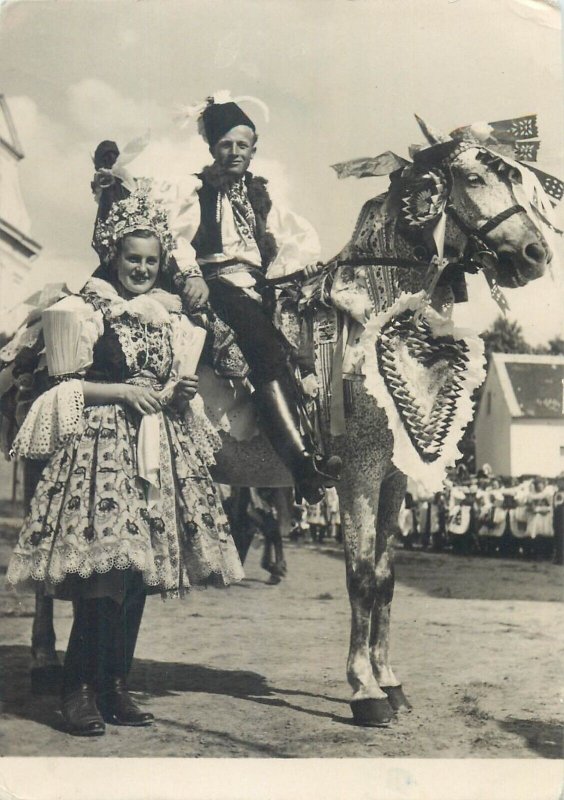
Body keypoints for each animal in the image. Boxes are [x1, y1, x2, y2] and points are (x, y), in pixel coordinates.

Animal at [4, 109, 560, 728]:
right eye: (474, 178)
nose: (535, 254)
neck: (374, 313)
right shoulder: (359, 475)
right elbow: (361, 578)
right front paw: (365, 691)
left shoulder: (393, 479)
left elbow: (386, 579)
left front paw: (390, 681)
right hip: (44, 461)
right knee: (47, 573)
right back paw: (46, 663)